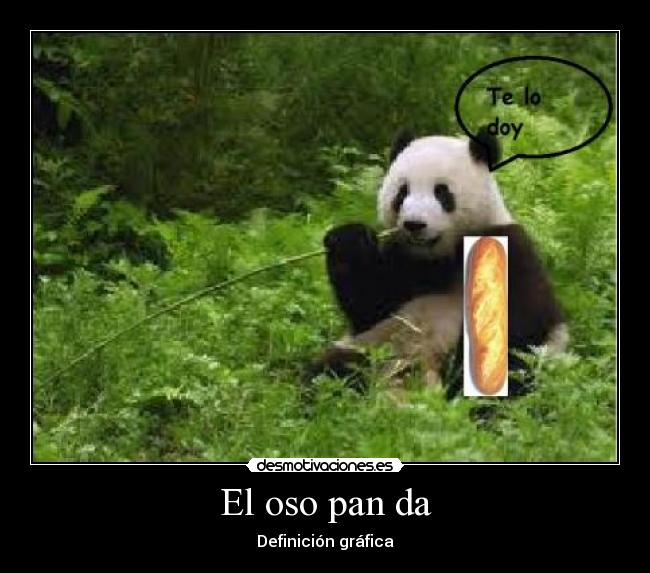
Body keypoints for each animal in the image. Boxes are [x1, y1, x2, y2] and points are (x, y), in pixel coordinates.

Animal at [311, 128, 569, 396]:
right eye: (402, 192)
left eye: (442, 192)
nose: (414, 224)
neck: (440, 257)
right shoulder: (401, 258)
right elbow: (370, 306)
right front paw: (349, 240)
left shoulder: (508, 250)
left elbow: (516, 324)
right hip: (376, 346)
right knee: (332, 368)